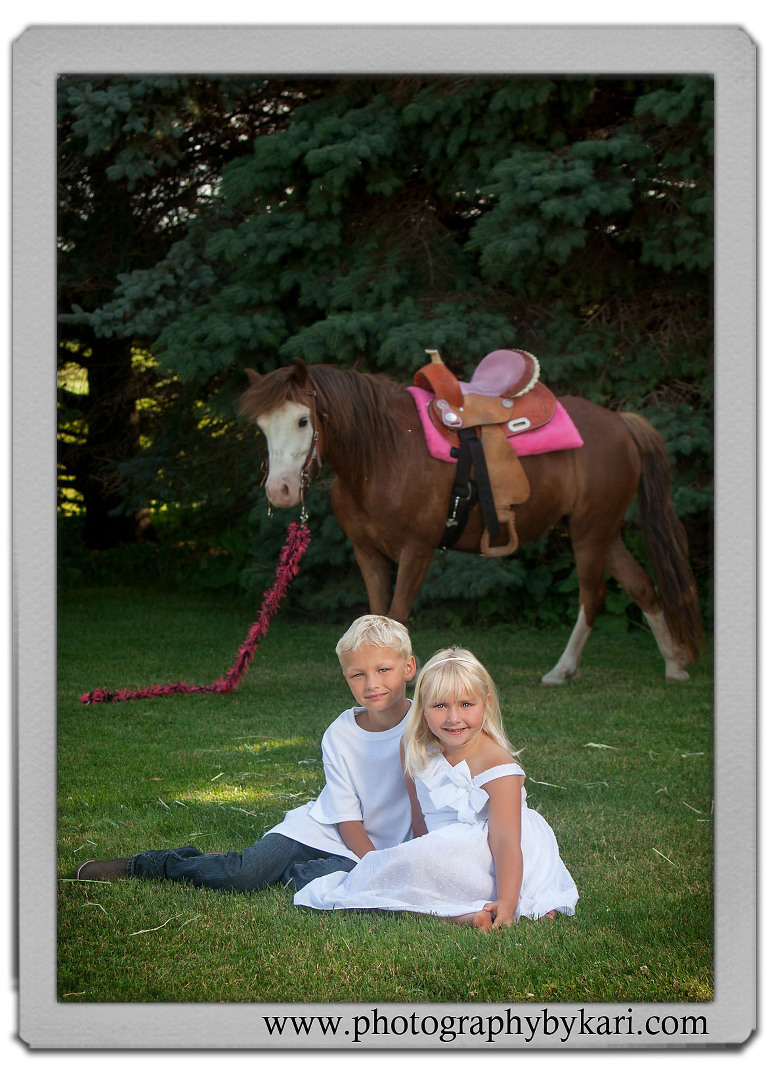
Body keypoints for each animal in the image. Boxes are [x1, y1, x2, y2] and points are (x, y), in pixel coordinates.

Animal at [239, 357, 701, 684]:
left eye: (302, 420)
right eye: (262, 426)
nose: (280, 490)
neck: (384, 454)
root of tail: (620, 422)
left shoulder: (417, 551)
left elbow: (397, 614)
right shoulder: (367, 552)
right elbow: (377, 615)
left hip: (590, 531)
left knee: (593, 595)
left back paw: (562, 671)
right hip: (605, 533)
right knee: (642, 586)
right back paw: (675, 665)